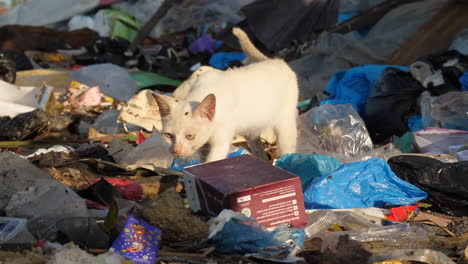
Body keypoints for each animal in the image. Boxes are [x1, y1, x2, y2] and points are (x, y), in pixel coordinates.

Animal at [154, 27, 300, 163]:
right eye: (168, 135)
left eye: (190, 136)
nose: (176, 151)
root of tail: (276, 60)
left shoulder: (221, 143)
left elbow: (211, 162)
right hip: (252, 127)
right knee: (257, 145)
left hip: (284, 123)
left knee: (287, 146)